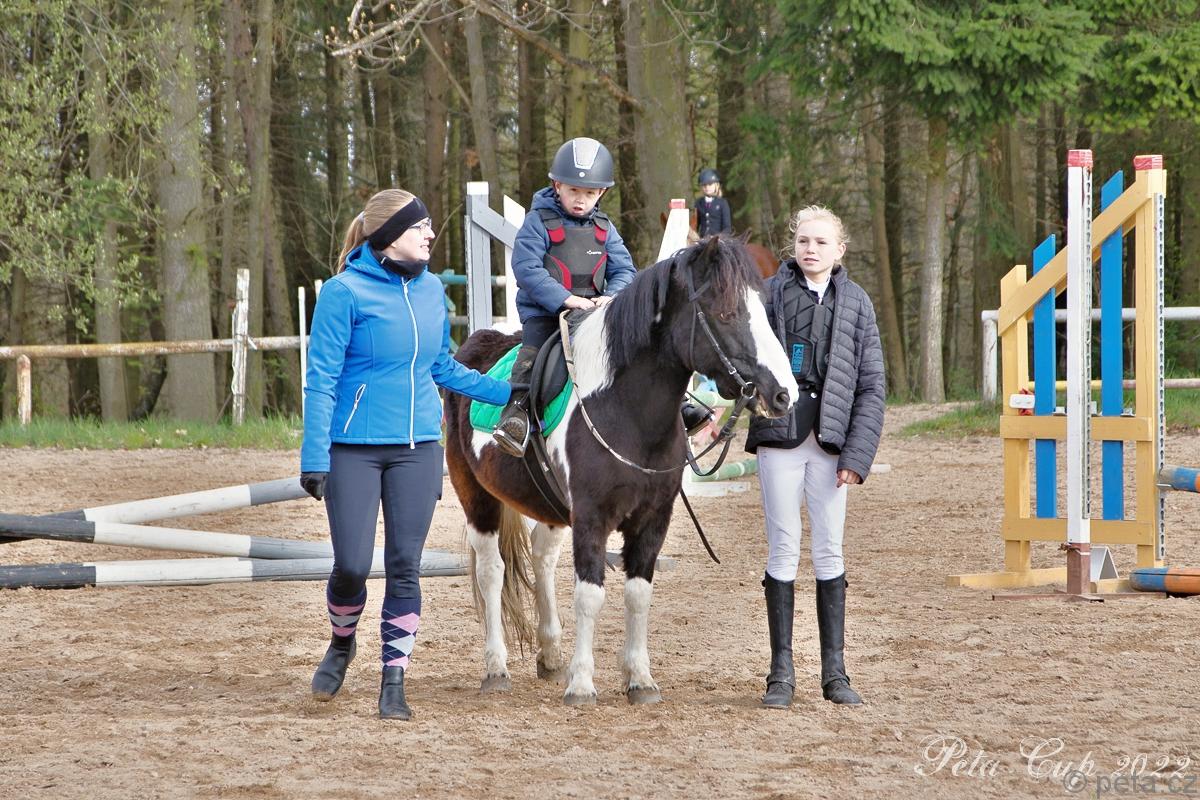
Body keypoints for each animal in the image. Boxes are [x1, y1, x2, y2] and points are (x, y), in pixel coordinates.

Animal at [444, 236, 798, 705]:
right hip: (476, 496)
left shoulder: (652, 519)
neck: (626, 411)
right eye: (725, 313)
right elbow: (590, 596)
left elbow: (638, 594)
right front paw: (581, 684)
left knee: (542, 558)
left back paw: (550, 655)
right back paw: (496, 668)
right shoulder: (591, 518)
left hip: (550, 506)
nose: (784, 395)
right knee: (491, 571)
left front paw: (639, 679)